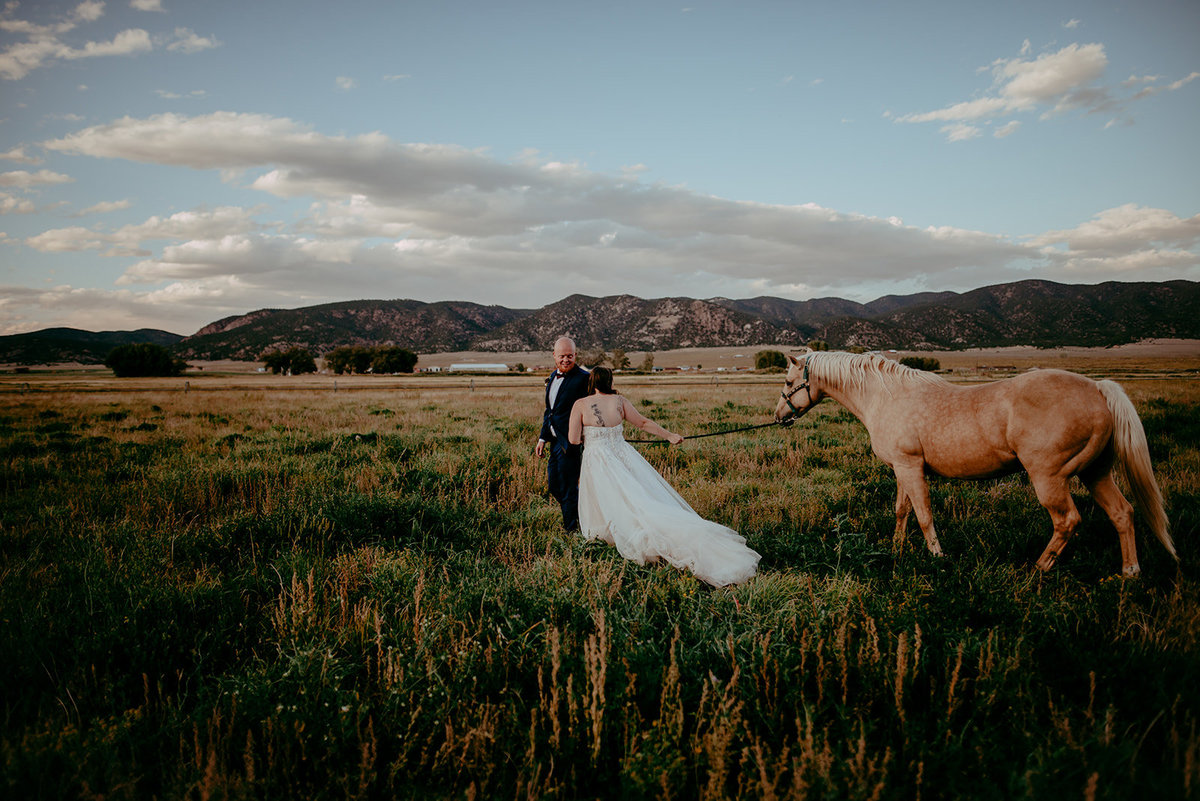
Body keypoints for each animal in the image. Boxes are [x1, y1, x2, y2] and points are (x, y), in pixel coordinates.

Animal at [772, 350, 1176, 575]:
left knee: (1067, 521)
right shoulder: (902, 469)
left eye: (789, 381)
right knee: (1122, 513)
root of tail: (1097, 389)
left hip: (1049, 478)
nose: (779, 416)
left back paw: (1039, 568)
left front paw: (937, 558)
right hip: (1096, 473)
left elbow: (923, 514)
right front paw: (896, 551)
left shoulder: (910, 468)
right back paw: (1130, 571)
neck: (886, 396)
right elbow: (902, 511)